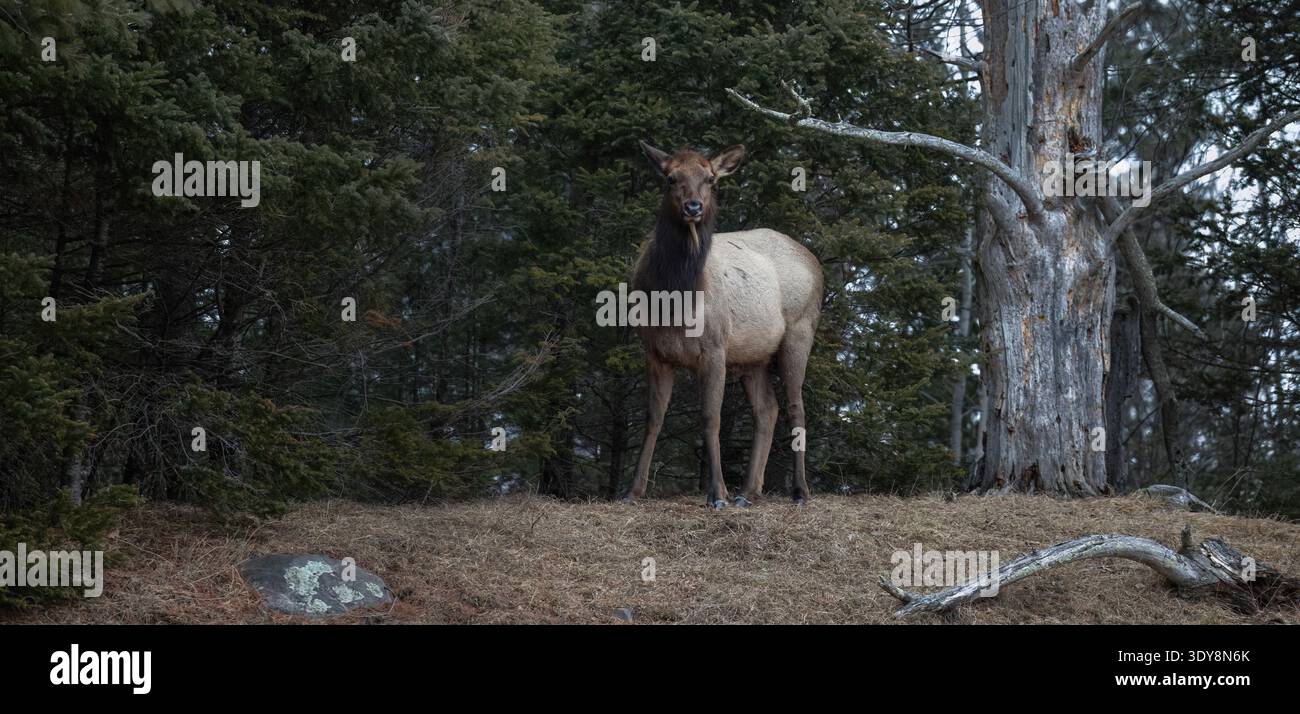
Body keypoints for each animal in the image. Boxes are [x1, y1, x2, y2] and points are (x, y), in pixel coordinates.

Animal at [622, 141, 823, 509]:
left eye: (711, 179)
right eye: (670, 178)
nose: (693, 206)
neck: (674, 297)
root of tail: (814, 261)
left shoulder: (715, 348)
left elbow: (710, 417)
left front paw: (717, 493)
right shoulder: (654, 351)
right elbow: (653, 418)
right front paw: (632, 491)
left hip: (801, 330)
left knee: (795, 406)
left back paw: (799, 491)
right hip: (753, 356)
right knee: (767, 409)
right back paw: (749, 491)